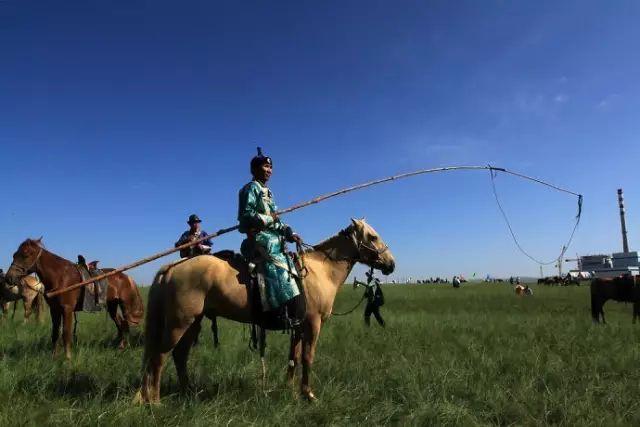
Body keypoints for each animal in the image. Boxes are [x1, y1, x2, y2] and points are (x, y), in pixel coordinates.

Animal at [3, 239, 145, 360]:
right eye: (14, 255)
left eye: (26, 255)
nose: (9, 278)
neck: (61, 277)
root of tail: (126, 277)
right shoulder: (54, 310)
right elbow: (55, 333)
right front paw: (54, 357)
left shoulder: (67, 309)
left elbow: (66, 333)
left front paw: (67, 359)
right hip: (112, 306)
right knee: (121, 324)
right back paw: (121, 346)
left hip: (125, 306)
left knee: (124, 324)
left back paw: (123, 346)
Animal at [137, 221, 392, 404]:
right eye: (372, 237)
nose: (391, 264)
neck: (321, 271)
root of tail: (172, 268)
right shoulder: (312, 325)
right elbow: (307, 357)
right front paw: (308, 395)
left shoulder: (298, 327)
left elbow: (293, 357)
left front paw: (290, 389)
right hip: (179, 323)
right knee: (160, 356)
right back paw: (155, 401)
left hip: (193, 323)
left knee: (179, 356)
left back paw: (187, 391)